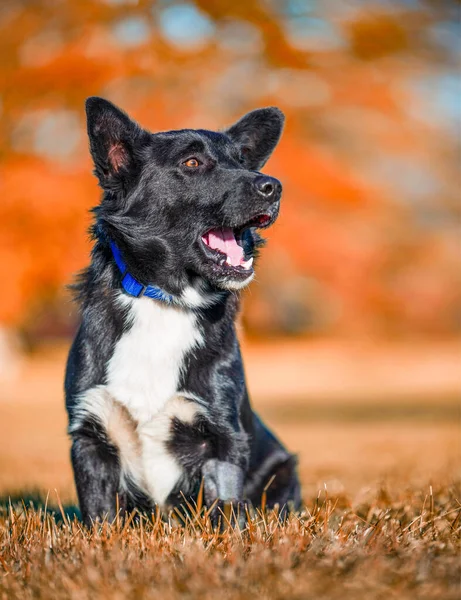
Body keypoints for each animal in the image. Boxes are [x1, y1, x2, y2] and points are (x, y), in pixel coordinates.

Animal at [65, 97, 302, 524]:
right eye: (192, 163)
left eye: (244, 160)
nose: (273, 186)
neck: (166, 300)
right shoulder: (90, 434)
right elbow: (100, 517)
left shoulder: (223, 437)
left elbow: (227, 510)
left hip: (282, 469)